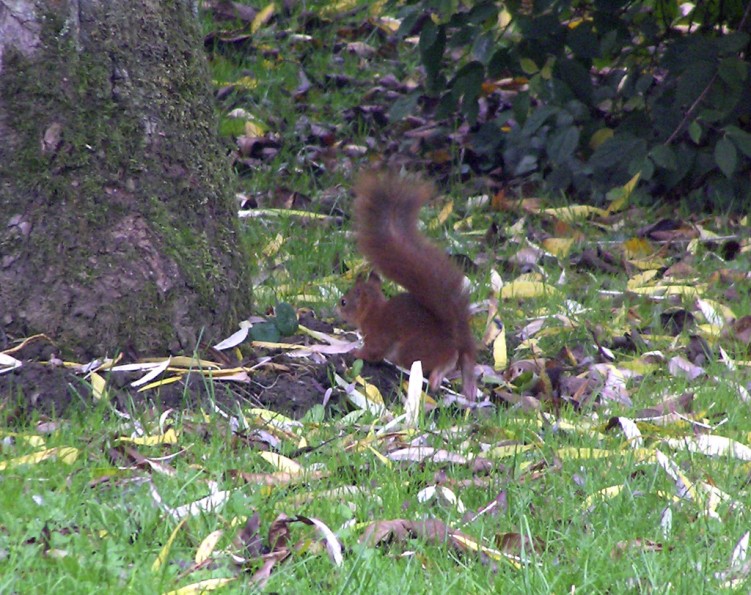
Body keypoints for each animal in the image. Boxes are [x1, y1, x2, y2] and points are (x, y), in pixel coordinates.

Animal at [340, 175, 478, 402]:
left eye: (344, 301)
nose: (336, 308)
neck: (373, 312)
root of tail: (454, 337)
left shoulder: (378, 335)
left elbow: (373, 352)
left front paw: (356, 353)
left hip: (411, 351)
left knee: (445, 360)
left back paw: (437, 375)